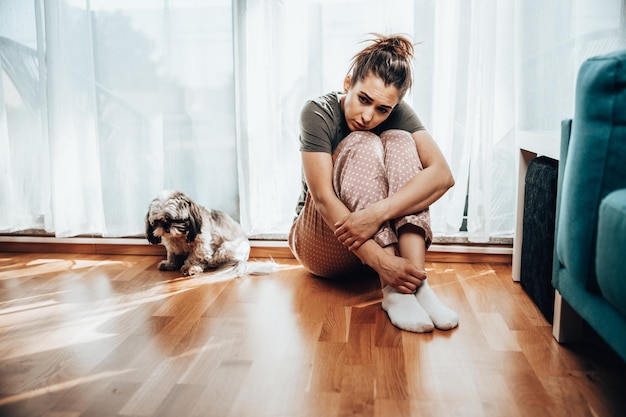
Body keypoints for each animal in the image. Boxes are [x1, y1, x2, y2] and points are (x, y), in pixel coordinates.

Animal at [145, 191, 276, 276]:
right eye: (157, 221)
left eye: (176, 220)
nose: (166, 226)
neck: (180, 237)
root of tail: (243, 260)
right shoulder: (172, 246)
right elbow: (172, 255)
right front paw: (169, 264)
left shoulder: (201, 245)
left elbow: (195, 257)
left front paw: (190, 267)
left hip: (226, 248)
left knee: (214, 260)